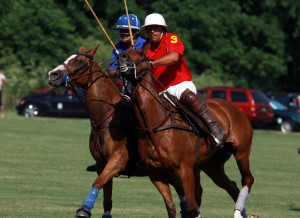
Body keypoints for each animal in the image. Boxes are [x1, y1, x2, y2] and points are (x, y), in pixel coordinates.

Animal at [47, 45, 192, 217]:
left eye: (79, 61)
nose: (53, 74)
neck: (106, 116)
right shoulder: (101, 163)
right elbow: (106, 197)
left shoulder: (118, 159)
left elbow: (98, 182)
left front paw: (84, 209)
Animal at [117, 49, 255, 218]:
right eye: (125, 51)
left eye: (140, 52)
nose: (121, 56)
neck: (155, 124)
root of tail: (234, 108)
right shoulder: (156, 174)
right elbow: (171, 208)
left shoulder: (185, 169)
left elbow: (191, 208)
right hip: (211, 164)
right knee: (231, 186)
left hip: (241, 151)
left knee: (247, 179)